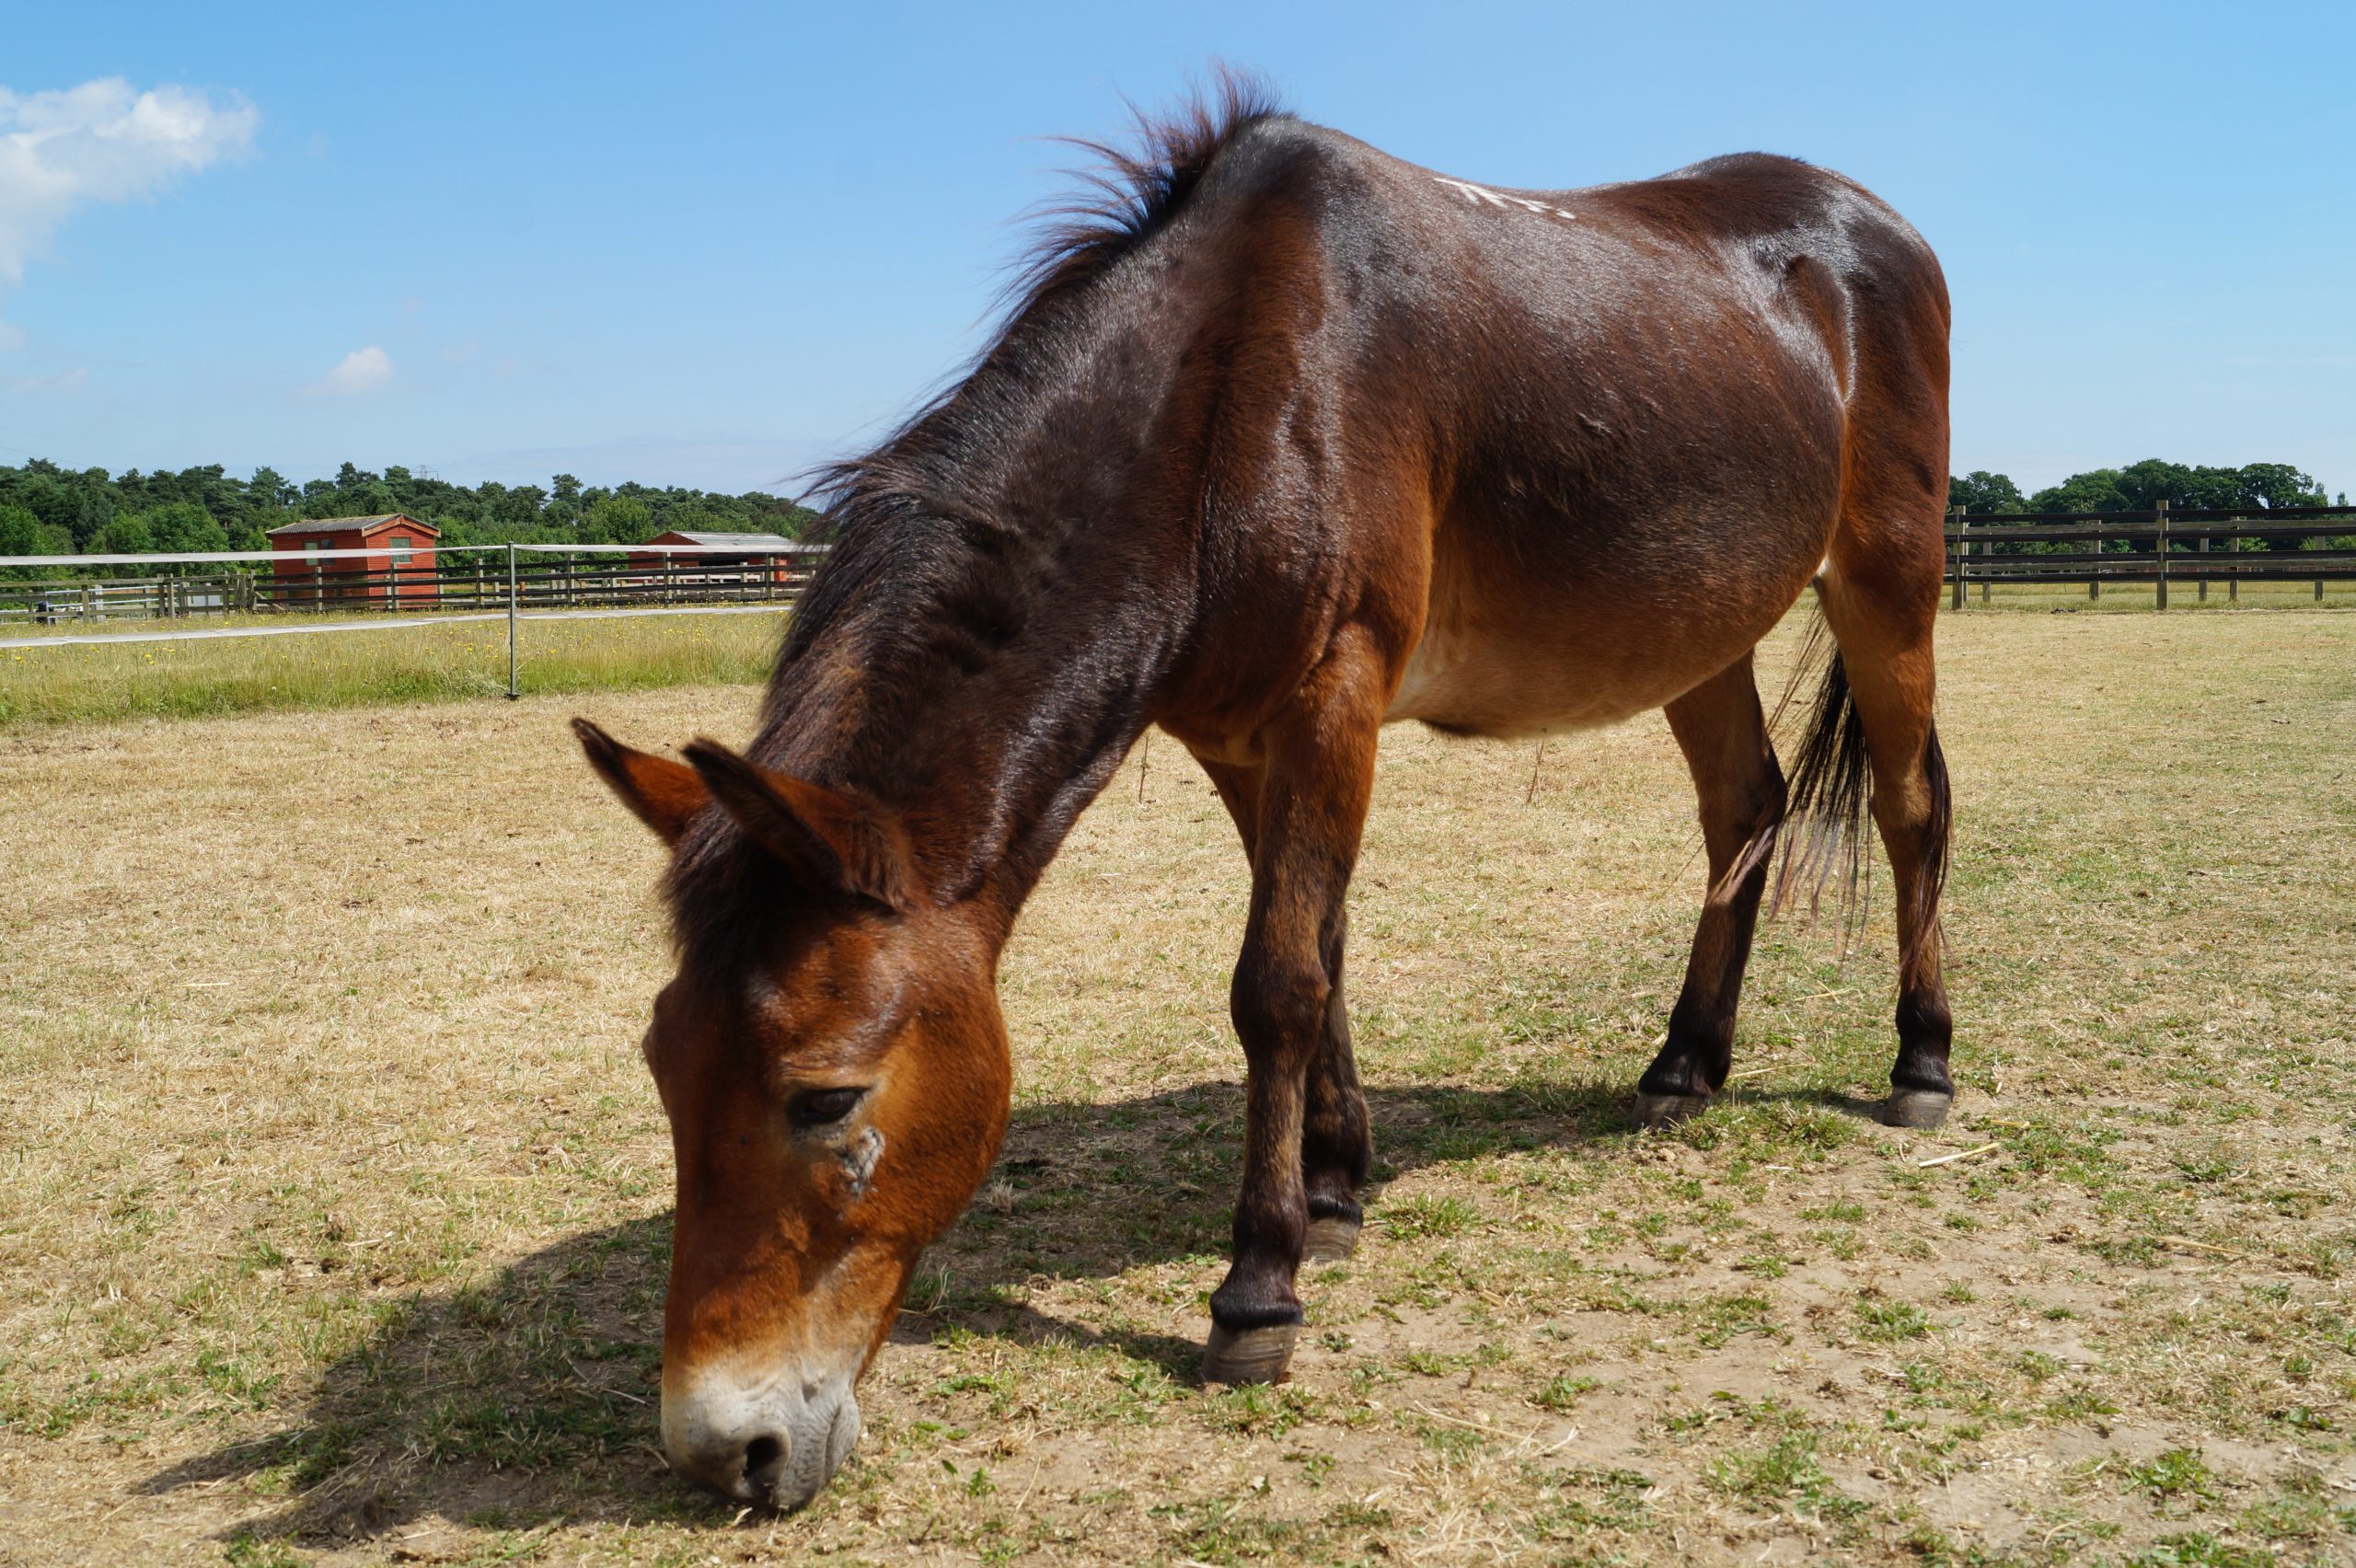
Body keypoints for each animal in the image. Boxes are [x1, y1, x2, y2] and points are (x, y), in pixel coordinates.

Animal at [574, 78, 1954, 1511]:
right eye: (663, 1067)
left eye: (825, 1098)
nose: (724, 1448)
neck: (1235, 383)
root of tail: (1870, 228)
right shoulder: (1238, 743)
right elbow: (1322, 957)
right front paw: (1336, 1189)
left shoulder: (1330, 702)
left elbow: (1276, 985)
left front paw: (1259, 1287)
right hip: (1702, 634)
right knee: (1744, 812)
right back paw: (1686, 1066)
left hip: (1885, 581)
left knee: (1912, 807)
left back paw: (1921, 1059)